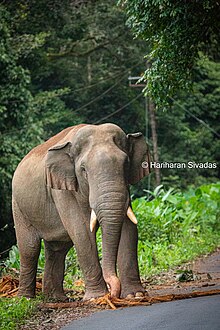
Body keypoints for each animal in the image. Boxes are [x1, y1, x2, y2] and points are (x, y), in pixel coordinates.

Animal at [11, 122, 150, 300]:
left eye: (126, 164)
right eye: (83, 170)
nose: (113, 292)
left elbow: (129, 229)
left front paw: (135, 295)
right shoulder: (61, 189)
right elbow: (81, 232)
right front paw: (96, 298)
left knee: (57, 249)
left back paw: (56, 299)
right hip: (19, 207)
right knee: (30, 249)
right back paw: (25, 299)